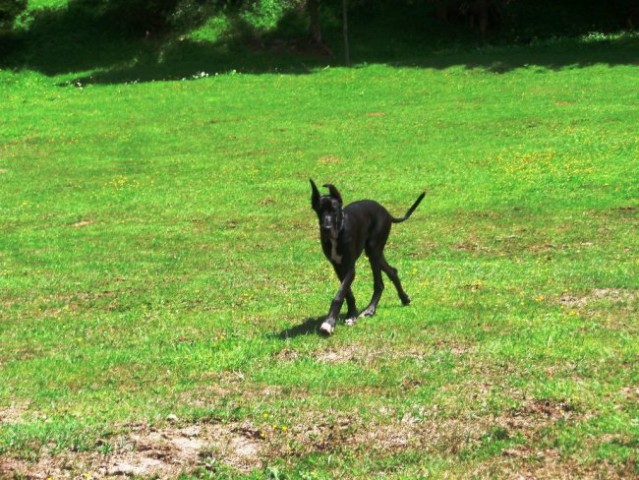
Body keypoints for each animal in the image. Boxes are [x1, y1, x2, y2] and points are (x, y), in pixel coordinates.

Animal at [310, 179, 424, 334]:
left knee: (379, 283)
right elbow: (347, 293)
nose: (326, 229)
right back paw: (404, 298)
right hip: (374, 252)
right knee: (392, 271)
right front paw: (351, 314)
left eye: (335, 211)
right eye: (319, 211)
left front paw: (329, 322)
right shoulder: (338, 266)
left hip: (373, 248)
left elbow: (339, 295)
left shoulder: (349, 268)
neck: (339, 232)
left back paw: (370, 309)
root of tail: (386, 212)